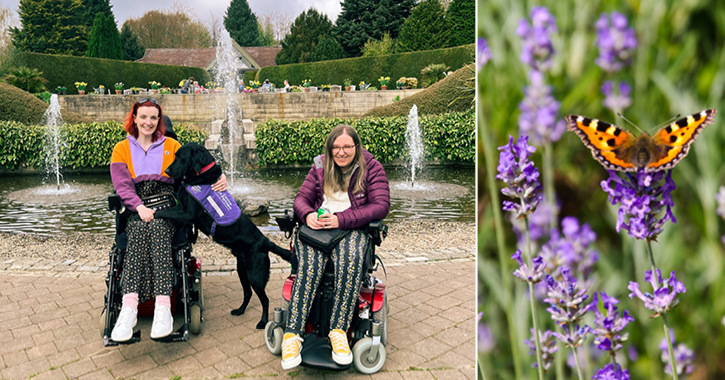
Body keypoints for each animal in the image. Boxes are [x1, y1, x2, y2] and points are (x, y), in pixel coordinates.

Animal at [160, 142, 296, 330]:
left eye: (180, 157)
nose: (166, 170)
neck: (202, 176)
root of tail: (265, 241)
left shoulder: (187, 213)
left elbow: (164, 212)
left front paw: (143, 213)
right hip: (242, 269)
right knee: (247, 293)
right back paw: (240, 310)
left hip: (255, 274)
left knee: (265, 299)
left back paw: (262, 322)